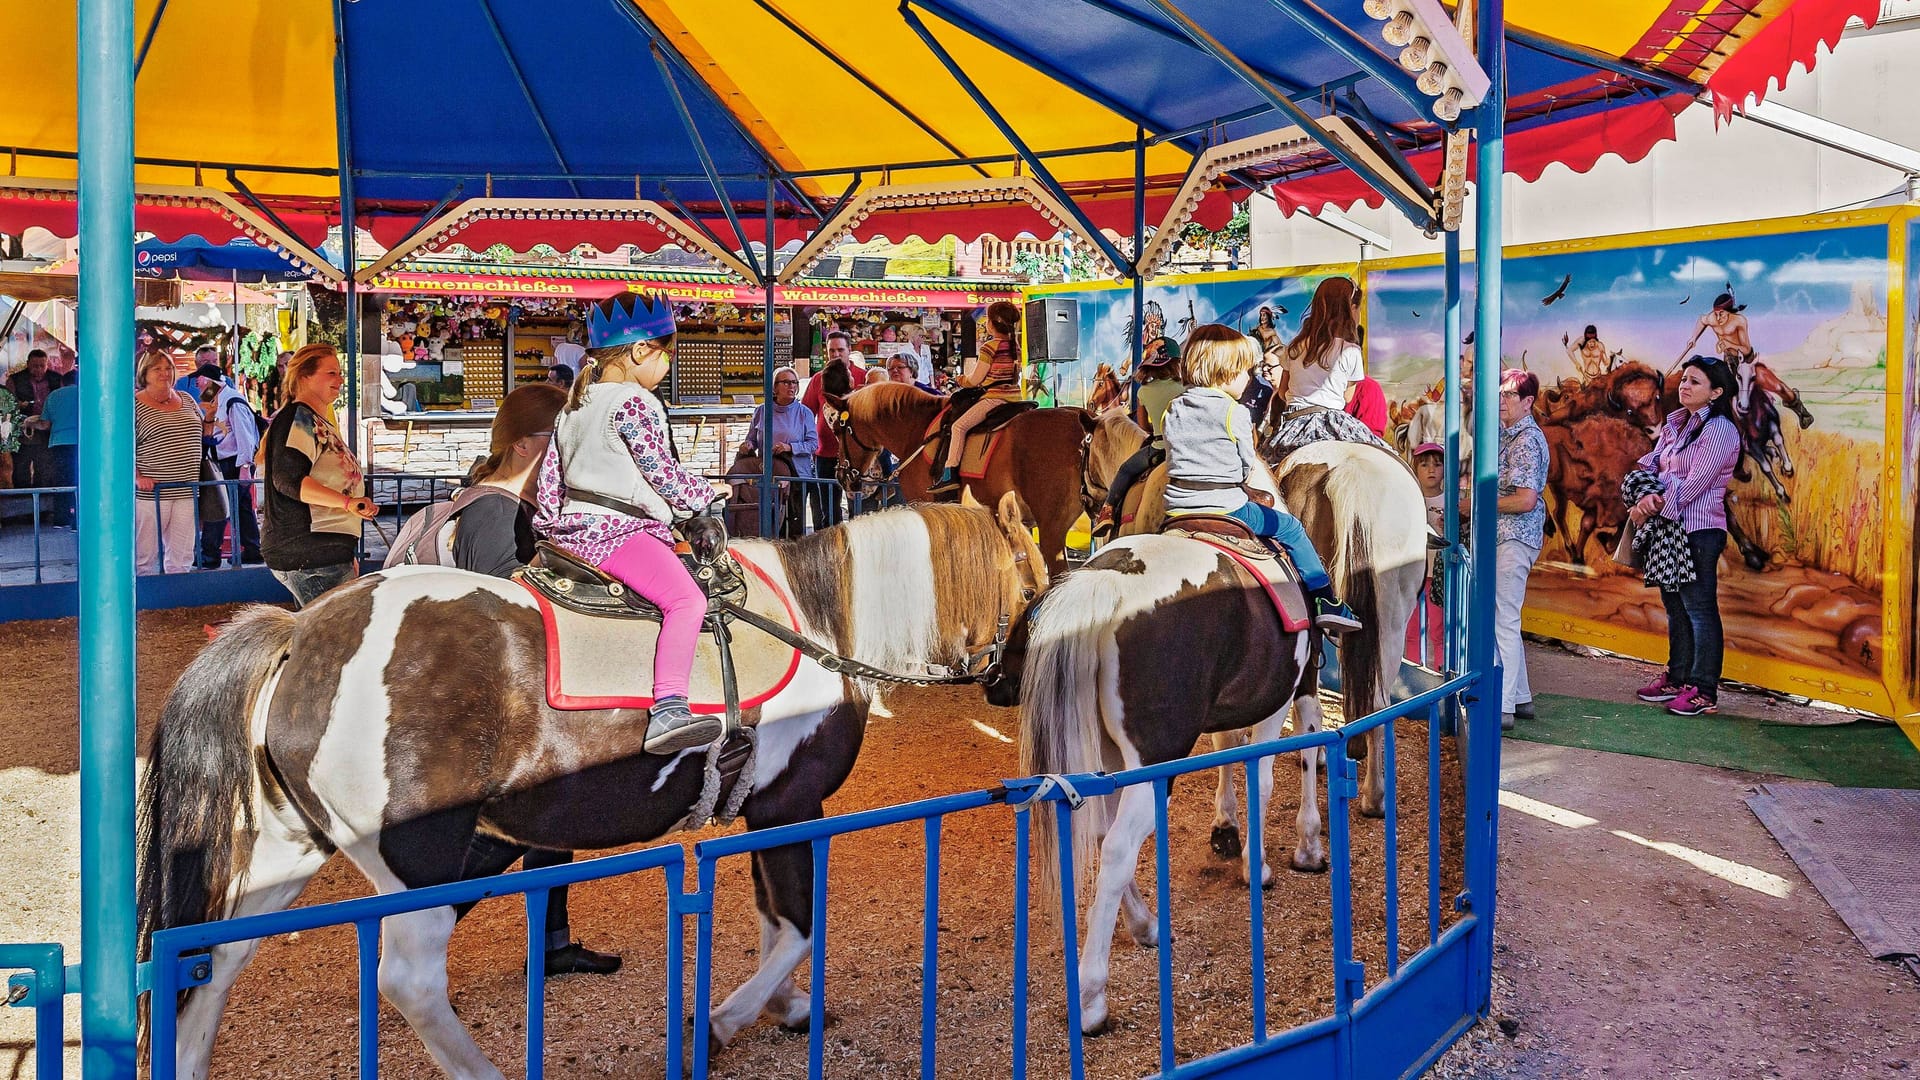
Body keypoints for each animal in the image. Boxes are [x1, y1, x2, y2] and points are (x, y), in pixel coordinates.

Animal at [140, 495, 1044, 1076]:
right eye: (1034, 588)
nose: (1012, 687)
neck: (820, 620)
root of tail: (301, 633)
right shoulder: (791, 804)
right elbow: (796, 927)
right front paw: (719, 1024)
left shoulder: (764, 809)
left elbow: (772, 922)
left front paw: (783, 1010)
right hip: (420, 858)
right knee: (408, 980)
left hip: (291, 849)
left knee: (211, 962)